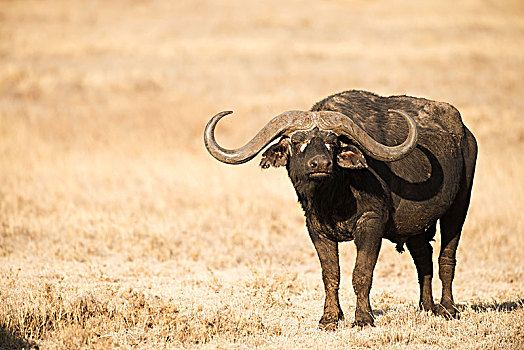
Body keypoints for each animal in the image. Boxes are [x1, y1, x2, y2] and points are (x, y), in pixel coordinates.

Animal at [203, 89, 476, 328]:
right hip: (415, 227)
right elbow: (330, 274)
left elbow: (361, 273)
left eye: (332, 142)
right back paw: (426, 307)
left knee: (446, 257)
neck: (333, 197)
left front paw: (363, 318)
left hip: (458, 208)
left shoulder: (370, 224)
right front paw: (329, 319)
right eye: (296, 141)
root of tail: (465, 135)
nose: (320, 164)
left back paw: (448, 308)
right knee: (423, 258)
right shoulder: (316, 229)